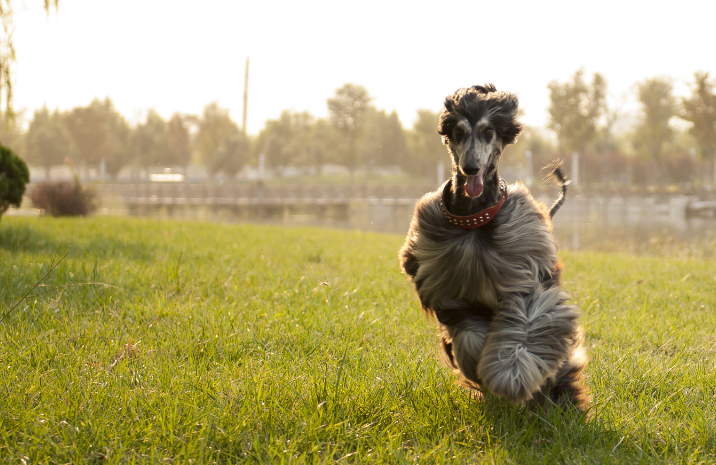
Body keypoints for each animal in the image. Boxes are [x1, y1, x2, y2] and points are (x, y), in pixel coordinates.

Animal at [400, 85, 592, 412]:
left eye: (488, 131)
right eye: (458, 131)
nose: (471, 168)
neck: (474, 220)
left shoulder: (525, 274)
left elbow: (526, 324)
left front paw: (511, 374)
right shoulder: (451, 292)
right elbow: (467, 336)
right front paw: (478, 369)